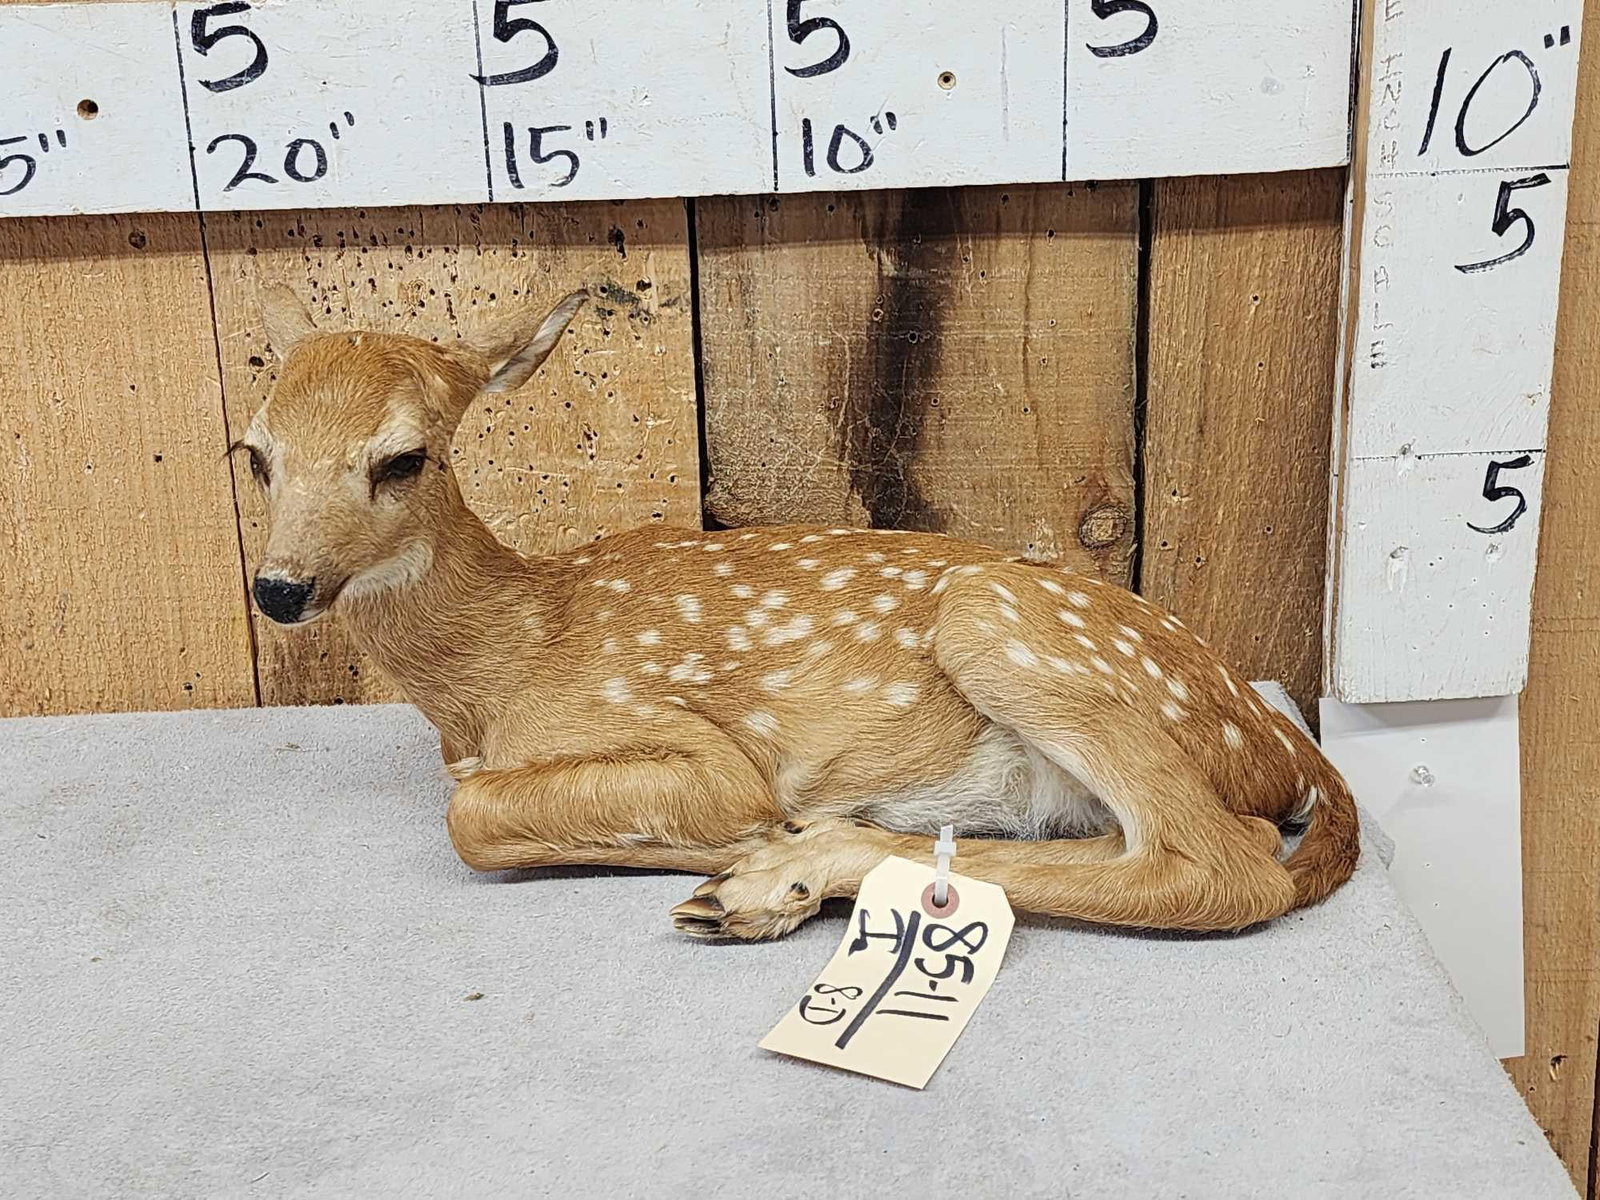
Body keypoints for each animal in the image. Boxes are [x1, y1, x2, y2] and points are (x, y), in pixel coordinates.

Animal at [234, 283, 1360, 941]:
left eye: (402, 457)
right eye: (254, 453)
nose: (280, 587)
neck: (500, 662)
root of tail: (1285, 747)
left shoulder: (693, 746)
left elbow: (471, 819)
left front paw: (737, 845)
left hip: (1000, 623)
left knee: (1229, 868)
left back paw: (773, 873)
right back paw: (788, 878)